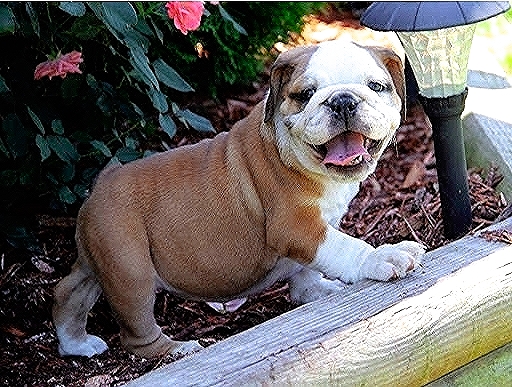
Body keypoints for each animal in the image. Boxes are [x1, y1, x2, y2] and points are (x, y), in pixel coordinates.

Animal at [54, 40, 426, 360]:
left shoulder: (315, 232)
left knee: (69, 290)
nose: (343, 100)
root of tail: (100, 184)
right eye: (305, 95)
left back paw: (76, 343)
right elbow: (344, 248)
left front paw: (319, 291)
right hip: (131, 271)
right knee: (136, 335)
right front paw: (381, 258)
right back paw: (178, 349)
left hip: (101, 259)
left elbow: (308, 274)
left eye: (376, 86)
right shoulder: (295, 227)